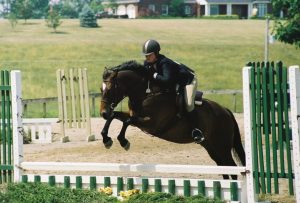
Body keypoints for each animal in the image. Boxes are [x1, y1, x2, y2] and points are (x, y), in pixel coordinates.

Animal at [99, 60, 245, 179]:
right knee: (223, 167)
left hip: (222, 145)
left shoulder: (151, 124)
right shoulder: (135, 117)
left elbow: (127, 121)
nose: (103, 113)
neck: (146, 93)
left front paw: (123, 141)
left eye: (110, 89)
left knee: (231, 167)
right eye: (101, 89)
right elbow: (115, 116)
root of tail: (226, 111)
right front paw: (107, 139)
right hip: (211, 146)